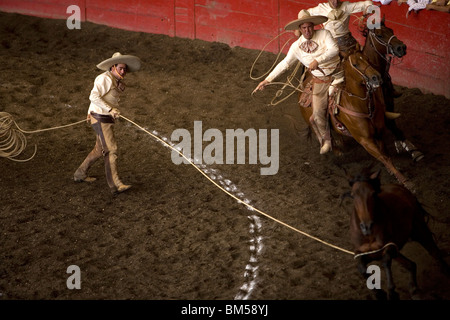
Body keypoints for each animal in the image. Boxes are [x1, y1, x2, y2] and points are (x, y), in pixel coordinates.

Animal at [298, 50, 412, 190]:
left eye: (368, 59)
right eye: (356, 64)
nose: (376, 77)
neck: (360, 106)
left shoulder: (379, 133)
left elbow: (386, 154)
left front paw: (393, 171)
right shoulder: (365, 140)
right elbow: (383, 157)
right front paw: (405, 180)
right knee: (322, 133)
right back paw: (335, 150)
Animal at [342, 168, 448, 300]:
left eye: (373, 194)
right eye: (353, 195)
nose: (367, 226)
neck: (369, 235)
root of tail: (402, 188)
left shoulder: (389, 247)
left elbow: (386, 261)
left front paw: (392, 292)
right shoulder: (365, 253)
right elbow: (361, 268)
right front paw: (379, 293)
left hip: (420, 230)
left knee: (434, 253)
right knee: (411, 264)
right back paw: (414, 290)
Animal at [360, 18, 424, 161]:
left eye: (391, 30)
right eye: (379, 35)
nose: (401, 47)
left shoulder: (389, 100)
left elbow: (392, 123)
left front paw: (410, 147)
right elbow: (388, 122)